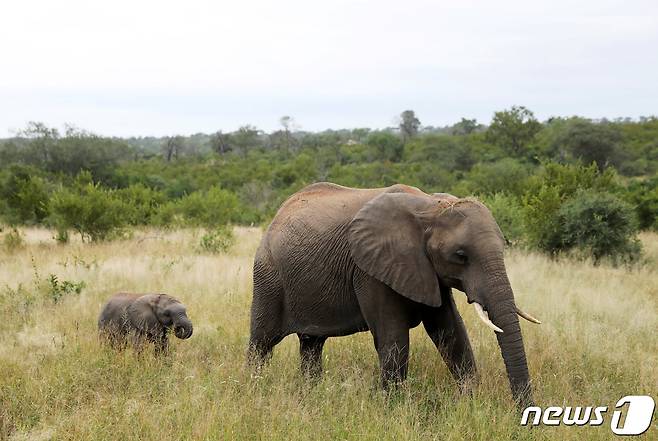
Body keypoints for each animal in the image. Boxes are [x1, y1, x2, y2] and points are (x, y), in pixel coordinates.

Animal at [247, 180, 540, 404]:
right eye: (460, 256)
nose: (522, 413)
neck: (430, 206)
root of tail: (277, 215)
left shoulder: (427, 273)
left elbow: (450, 332)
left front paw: (468, 403)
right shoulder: (370, 270)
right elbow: (394, 340)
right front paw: (392, 408)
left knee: (311, 344)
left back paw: (312, 395)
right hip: (268, 277)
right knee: (262, 343)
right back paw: (253, 389)